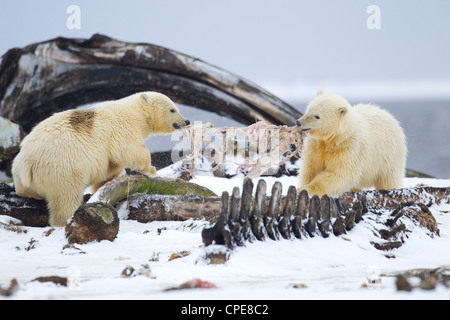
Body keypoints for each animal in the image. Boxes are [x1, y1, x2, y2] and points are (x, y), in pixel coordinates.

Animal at [11, 91, 189, 226]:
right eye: (172, 110)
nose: (186, 121)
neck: (136, 112)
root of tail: (27, 163)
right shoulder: (123, 128)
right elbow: (128, 149)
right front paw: (152, 171)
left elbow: (110, 169)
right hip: (63, 166)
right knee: (66, 197)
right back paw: (66, 219)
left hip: (21, 169)